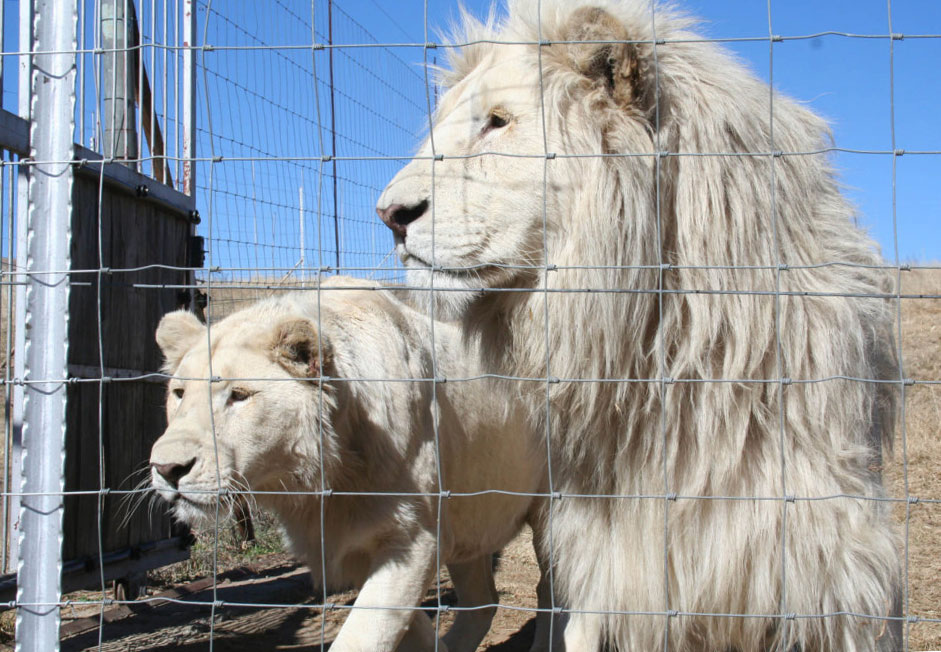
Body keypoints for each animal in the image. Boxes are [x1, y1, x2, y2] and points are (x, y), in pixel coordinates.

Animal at [148, 278, 552, 652]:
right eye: (179, 394)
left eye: (239, 396)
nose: (167, 468)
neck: (324, 478)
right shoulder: (352, 546)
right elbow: (408, 627)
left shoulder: (415, 539)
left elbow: (363, 635)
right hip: (471, 513)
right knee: (483, 601)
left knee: (549, 588)